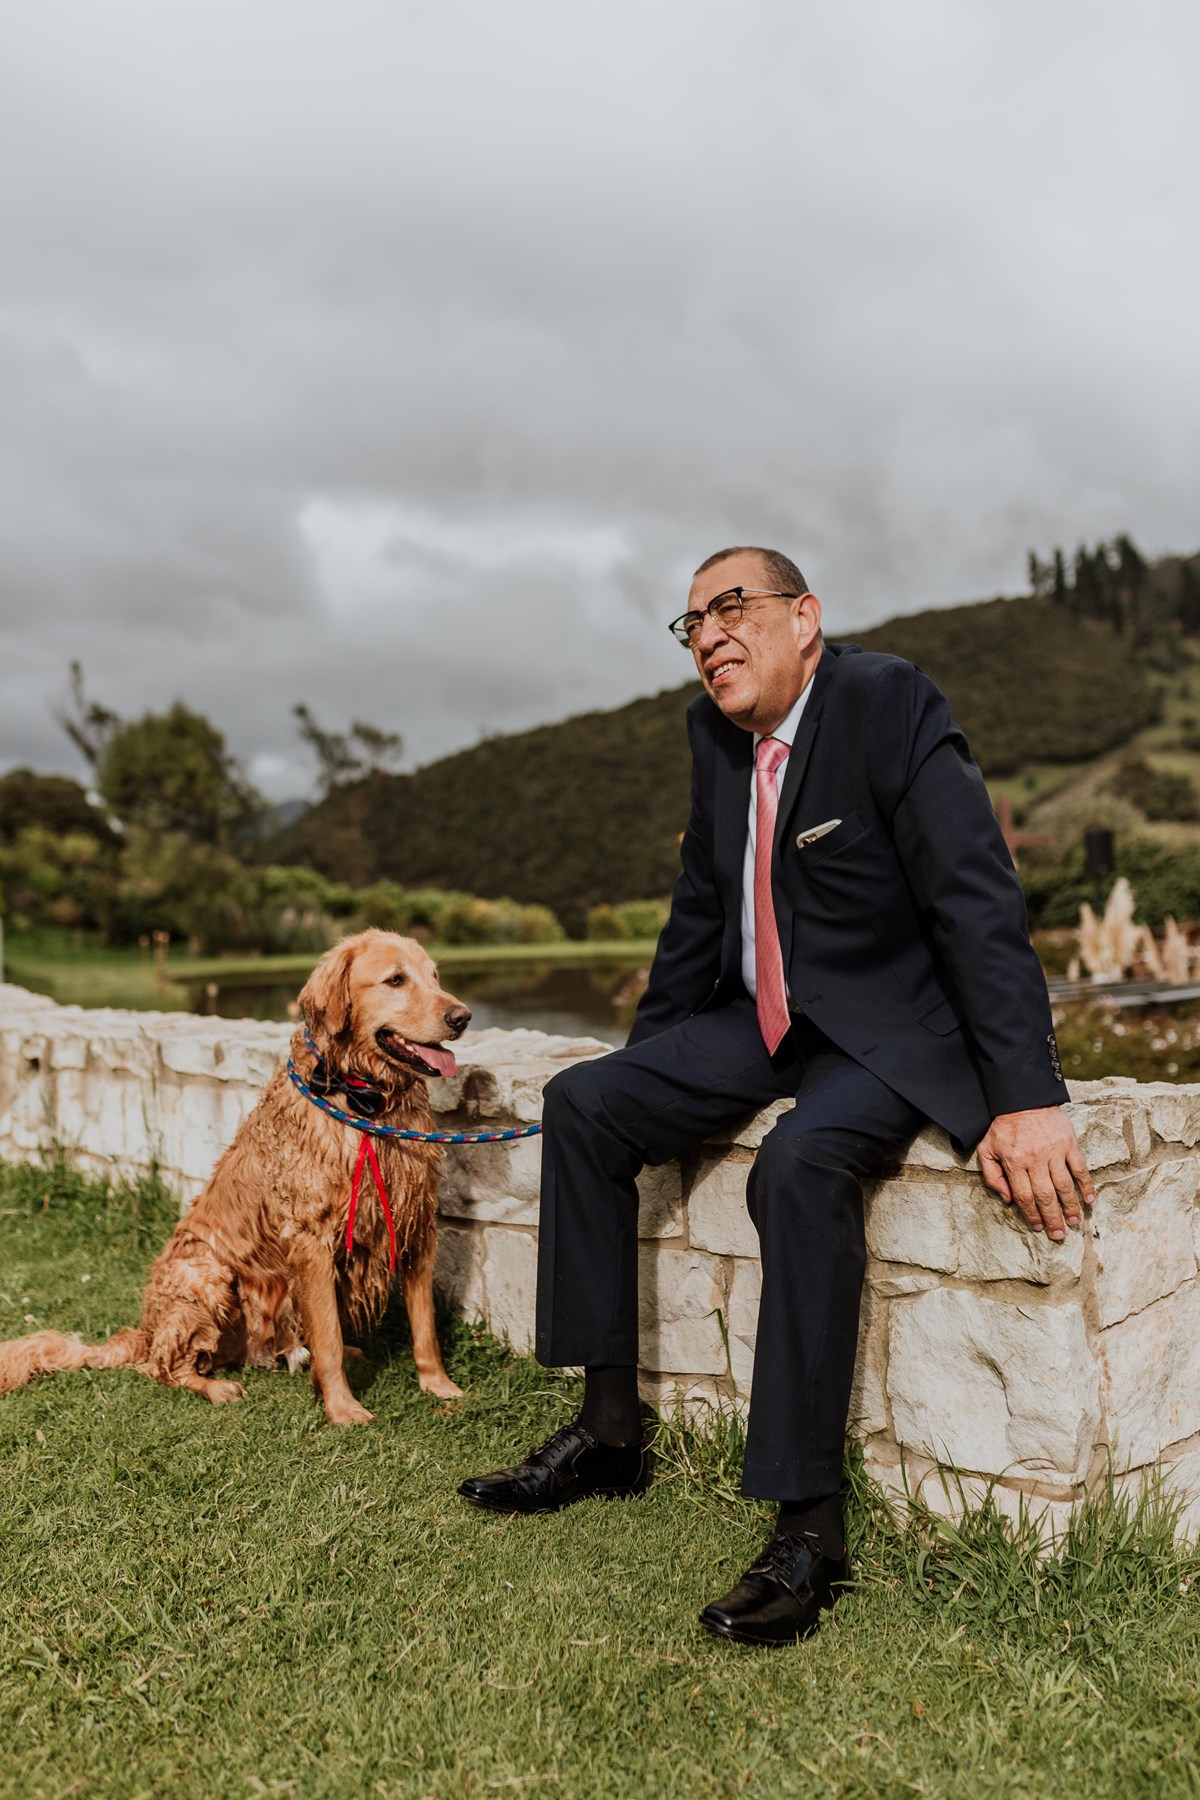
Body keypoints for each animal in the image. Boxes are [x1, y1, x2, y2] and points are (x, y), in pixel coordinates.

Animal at [0, 936, 474, 1425]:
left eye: (435, 976)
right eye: (395, 980)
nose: (462, 1017)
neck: (364, 1098)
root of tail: (146, 1331)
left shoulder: (416, 1225)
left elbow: (425, 1329)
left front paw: (438, 1385)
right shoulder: (311, 1240)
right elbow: (326, 1339)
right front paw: (342, 1408)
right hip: (205, 1273)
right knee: (162, 1367)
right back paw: (216, 1387)